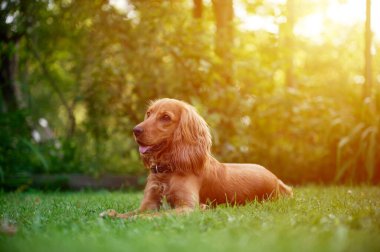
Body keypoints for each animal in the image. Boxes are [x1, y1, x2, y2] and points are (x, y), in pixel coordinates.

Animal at [99, 98, 292, 219]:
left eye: (166, 117)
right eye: (148, 113)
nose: (135, 130)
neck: (168, 170)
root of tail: (279, 181)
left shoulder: (188, 207)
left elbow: (157, 215)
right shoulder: (149, 203)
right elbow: (135, 212)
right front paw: (112, 214)